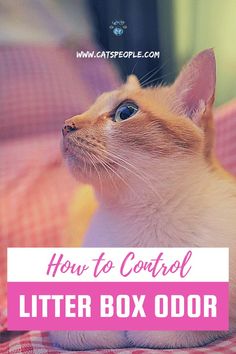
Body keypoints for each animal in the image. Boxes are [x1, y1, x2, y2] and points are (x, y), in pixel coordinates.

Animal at [50, 48, 236, 350]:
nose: (66, 125)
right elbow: (83, 330)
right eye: (89, 108)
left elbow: (159, 330)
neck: (138, 216)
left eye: (125, 112)